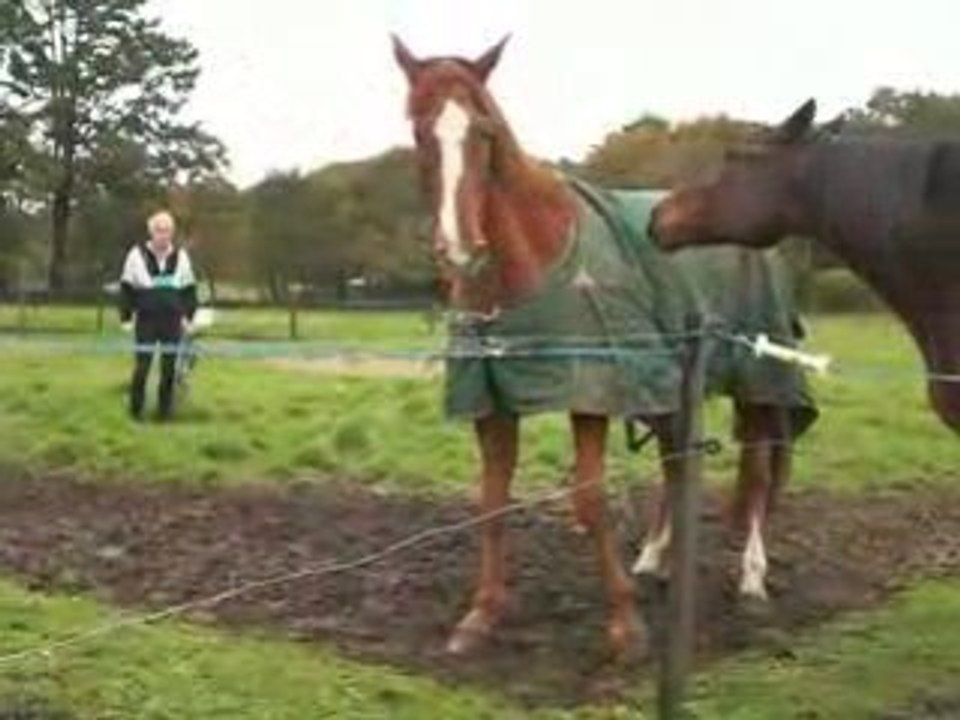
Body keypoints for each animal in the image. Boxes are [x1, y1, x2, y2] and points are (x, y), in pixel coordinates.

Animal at [392, 37, 817, 657]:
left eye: (485, 131)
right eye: (420, 132)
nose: (460, 250)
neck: (534, 257)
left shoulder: (590, 393)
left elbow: (590, 501)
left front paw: (625, 626)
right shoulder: (491, 403)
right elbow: (490, 504)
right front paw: (481, 616)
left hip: (757, 382)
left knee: (760, 474)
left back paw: (752, 578)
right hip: (673, 386)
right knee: (675, 464)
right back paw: (658, 560)